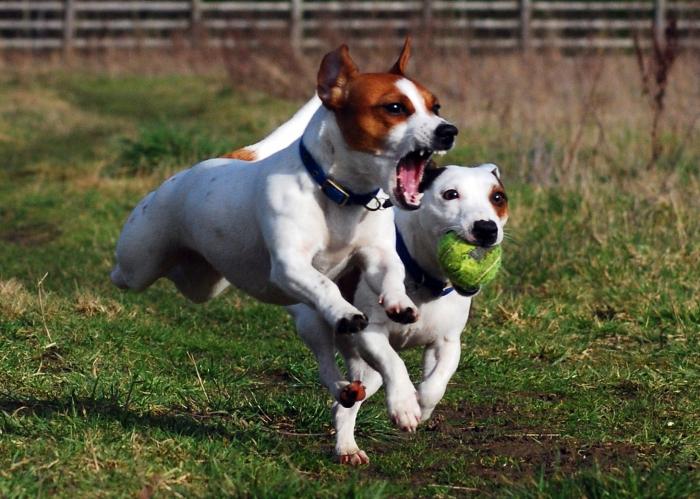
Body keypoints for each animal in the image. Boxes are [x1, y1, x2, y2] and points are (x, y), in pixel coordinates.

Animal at [110, 42, 460, 360]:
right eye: (395, 108)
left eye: (436, 107)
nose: (449, 131)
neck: (340, 194)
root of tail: (191, 171)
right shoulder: (290, 264)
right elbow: (324, 285)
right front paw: (344, 313)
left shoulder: (378, 254)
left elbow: (390, 274)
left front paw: (400, 302)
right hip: (140, 261)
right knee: (126, 273)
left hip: (206, 282)